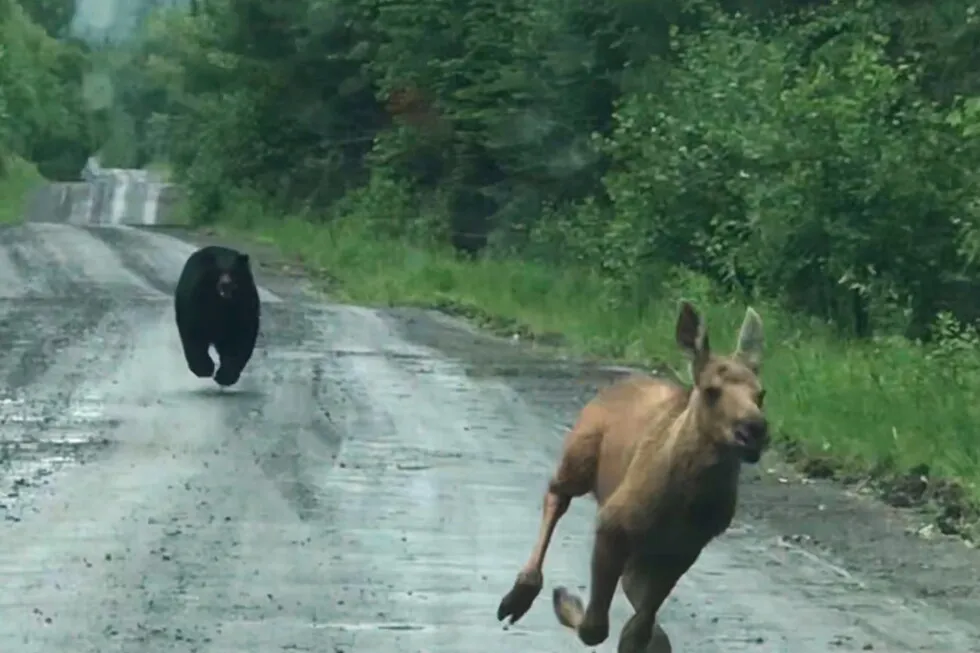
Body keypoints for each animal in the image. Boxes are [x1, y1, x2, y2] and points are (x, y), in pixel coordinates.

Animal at [174, 244, 261, 387]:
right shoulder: (197, 303)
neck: (222, 303)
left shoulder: (244, 305)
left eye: (233, 271)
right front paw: (203, 368)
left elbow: (240, 338)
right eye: (218, 271)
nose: (226, 284)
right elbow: (194, 333)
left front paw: (225, 376)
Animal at [496, 301, 768, 653]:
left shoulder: (685, 548)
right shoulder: (612, 523)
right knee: (557, 494)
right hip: (579, 456)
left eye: (761, 394)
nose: (755, 429)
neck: (687, 501)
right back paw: (521, 594)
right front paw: (567, 601)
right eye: (711, 390)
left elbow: (639, 626)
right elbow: (596, 627)